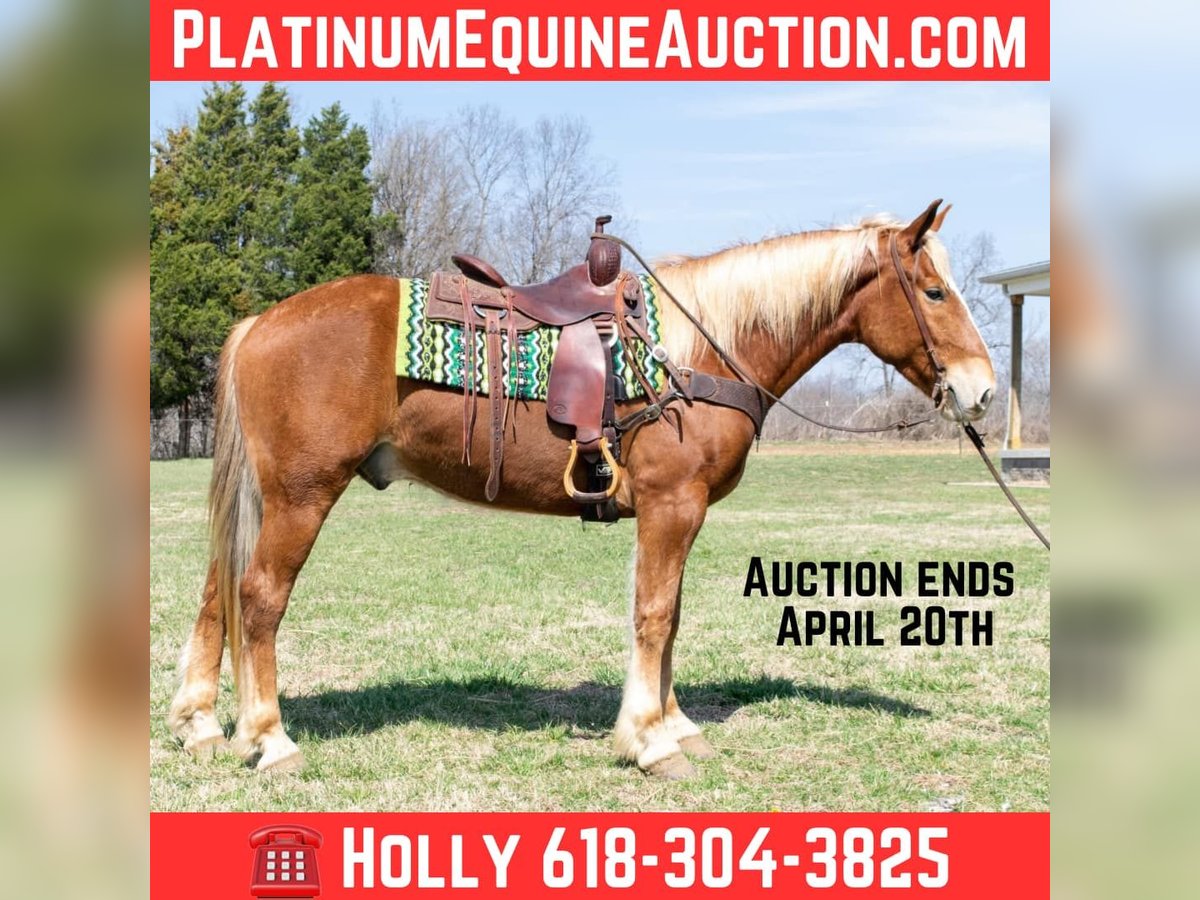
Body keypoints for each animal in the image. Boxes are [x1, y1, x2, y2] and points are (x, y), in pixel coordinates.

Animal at [167, 199, 995, 779]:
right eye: (933, 291)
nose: (982, 391)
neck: (696, 350)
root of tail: (261, 322)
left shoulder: (677, 514)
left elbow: (672, 616)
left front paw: (672, 722)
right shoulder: (671, 506)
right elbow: (655, 617)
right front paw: (649, 742)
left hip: (264, 497)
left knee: (217, 591)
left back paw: (200, 724)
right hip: (302, 495)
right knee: (259, 598)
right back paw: (269, 740)